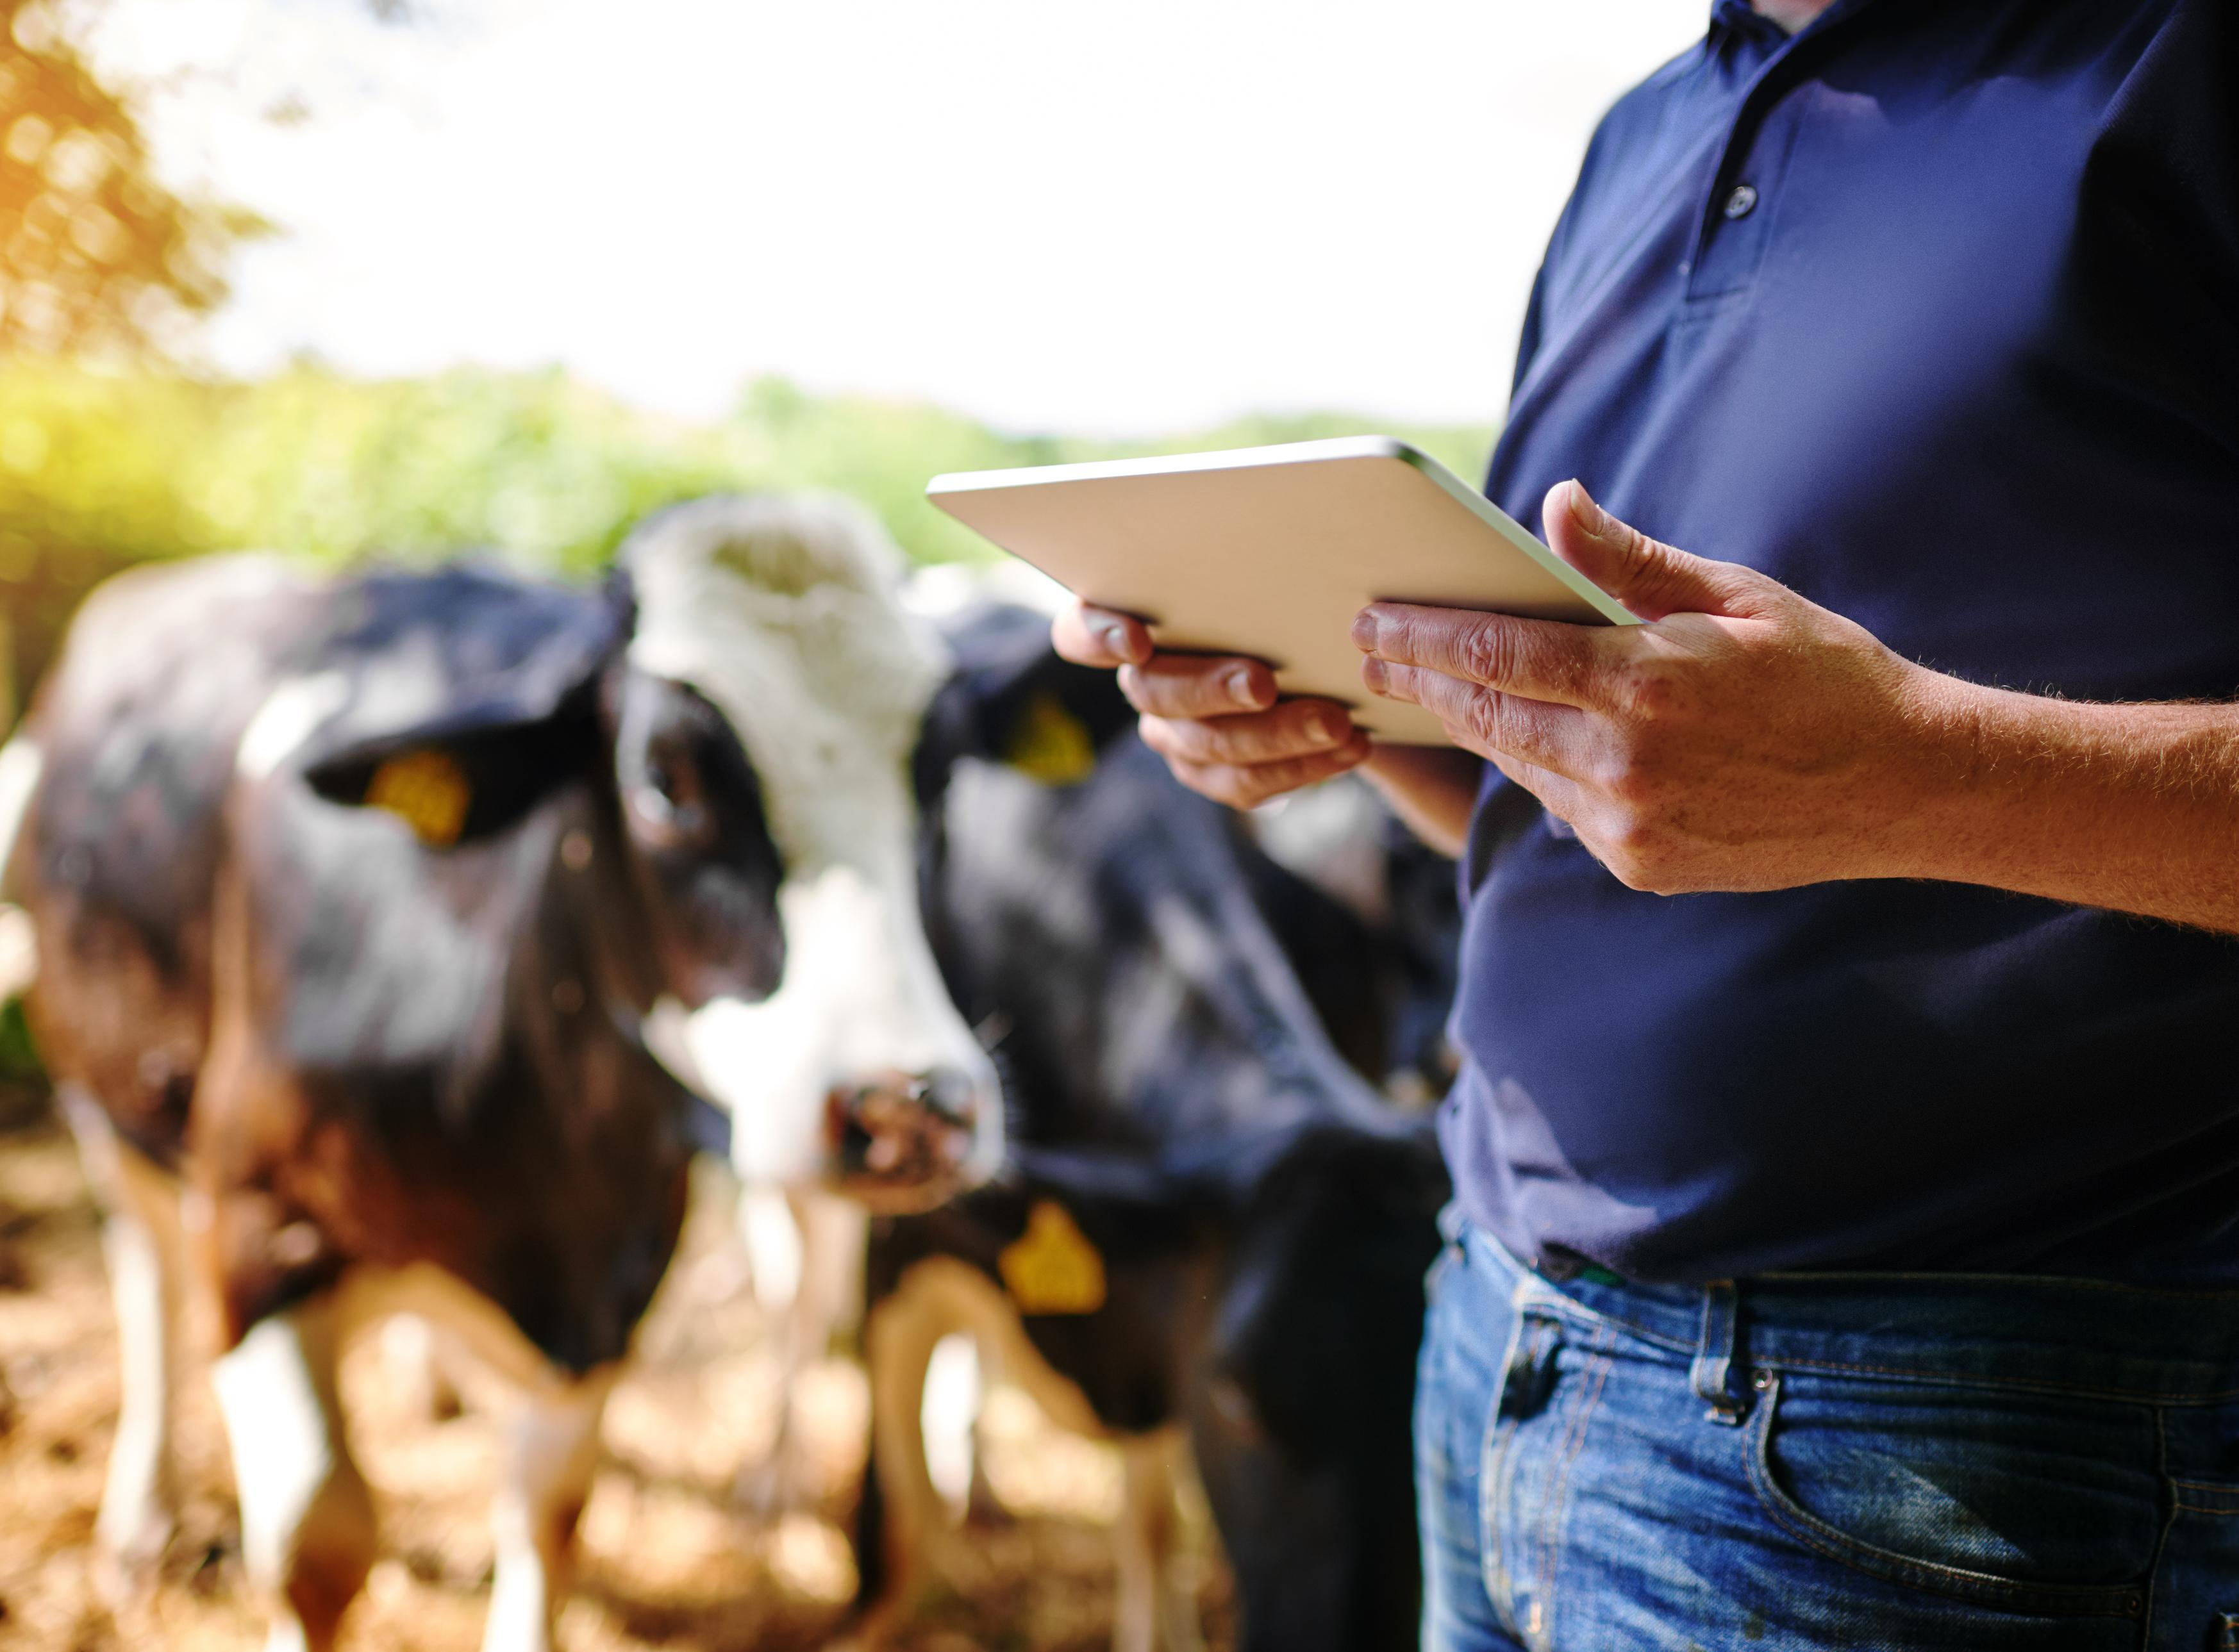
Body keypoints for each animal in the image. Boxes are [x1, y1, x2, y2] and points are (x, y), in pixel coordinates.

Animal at [0, 492, 1003, 1648]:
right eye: (666, 784)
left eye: (934, 782)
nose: (915, 1109)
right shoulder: (258, 1226)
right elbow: (317, 1542)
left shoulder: (612, 1272)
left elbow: (548, 1512)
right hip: (105, 1099)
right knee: (147, 1280)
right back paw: (144, 1514)